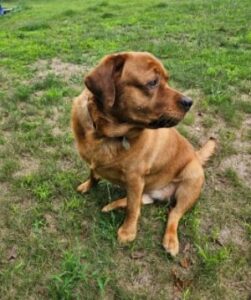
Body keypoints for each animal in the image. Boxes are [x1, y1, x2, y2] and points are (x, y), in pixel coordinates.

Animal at [71, 51, 216, 255]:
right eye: (153, 82)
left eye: (167, 79)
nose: (189, 102)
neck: (105, 134)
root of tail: (196, 156)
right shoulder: (98, 163)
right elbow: (94, 174)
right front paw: (87, 185)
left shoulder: (135, 179)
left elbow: (133, 210)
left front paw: (127, 232)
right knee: (141, 201)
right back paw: (112, 205)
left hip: (190, 184)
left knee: (172, 213)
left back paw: (170, 240)